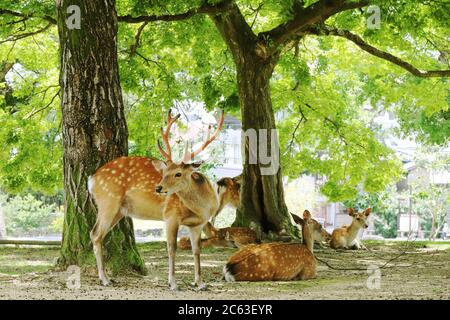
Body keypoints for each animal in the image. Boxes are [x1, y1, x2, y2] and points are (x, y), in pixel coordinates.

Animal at [87, 109, 224, 288]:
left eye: (178, 173)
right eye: (164, 172)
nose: (158, 188)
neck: (202, 207)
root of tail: (91, 179)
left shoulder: (198, 224)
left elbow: (196, 250)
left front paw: (200, 283)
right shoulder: (171, 215)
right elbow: (172, 248)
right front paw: (173, 283)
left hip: (119, 210)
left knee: (97, 234)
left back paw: (108, 277)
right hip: (108, 202)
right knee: (95, 234)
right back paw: (104, 279)